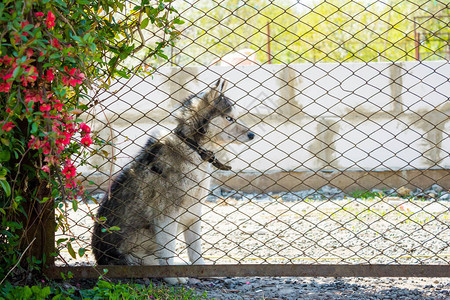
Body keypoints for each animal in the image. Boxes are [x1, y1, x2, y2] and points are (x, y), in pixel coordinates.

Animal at [92, 78, 253, 284]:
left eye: (236, 117)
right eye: (229, 118)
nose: (252, 135)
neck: (192, 148)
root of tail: (100, 261)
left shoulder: (194, 213)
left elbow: (196, 251)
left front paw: (202, 271)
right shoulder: (166, 216)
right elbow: (168, 251)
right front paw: (172, 277)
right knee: (151, 260)